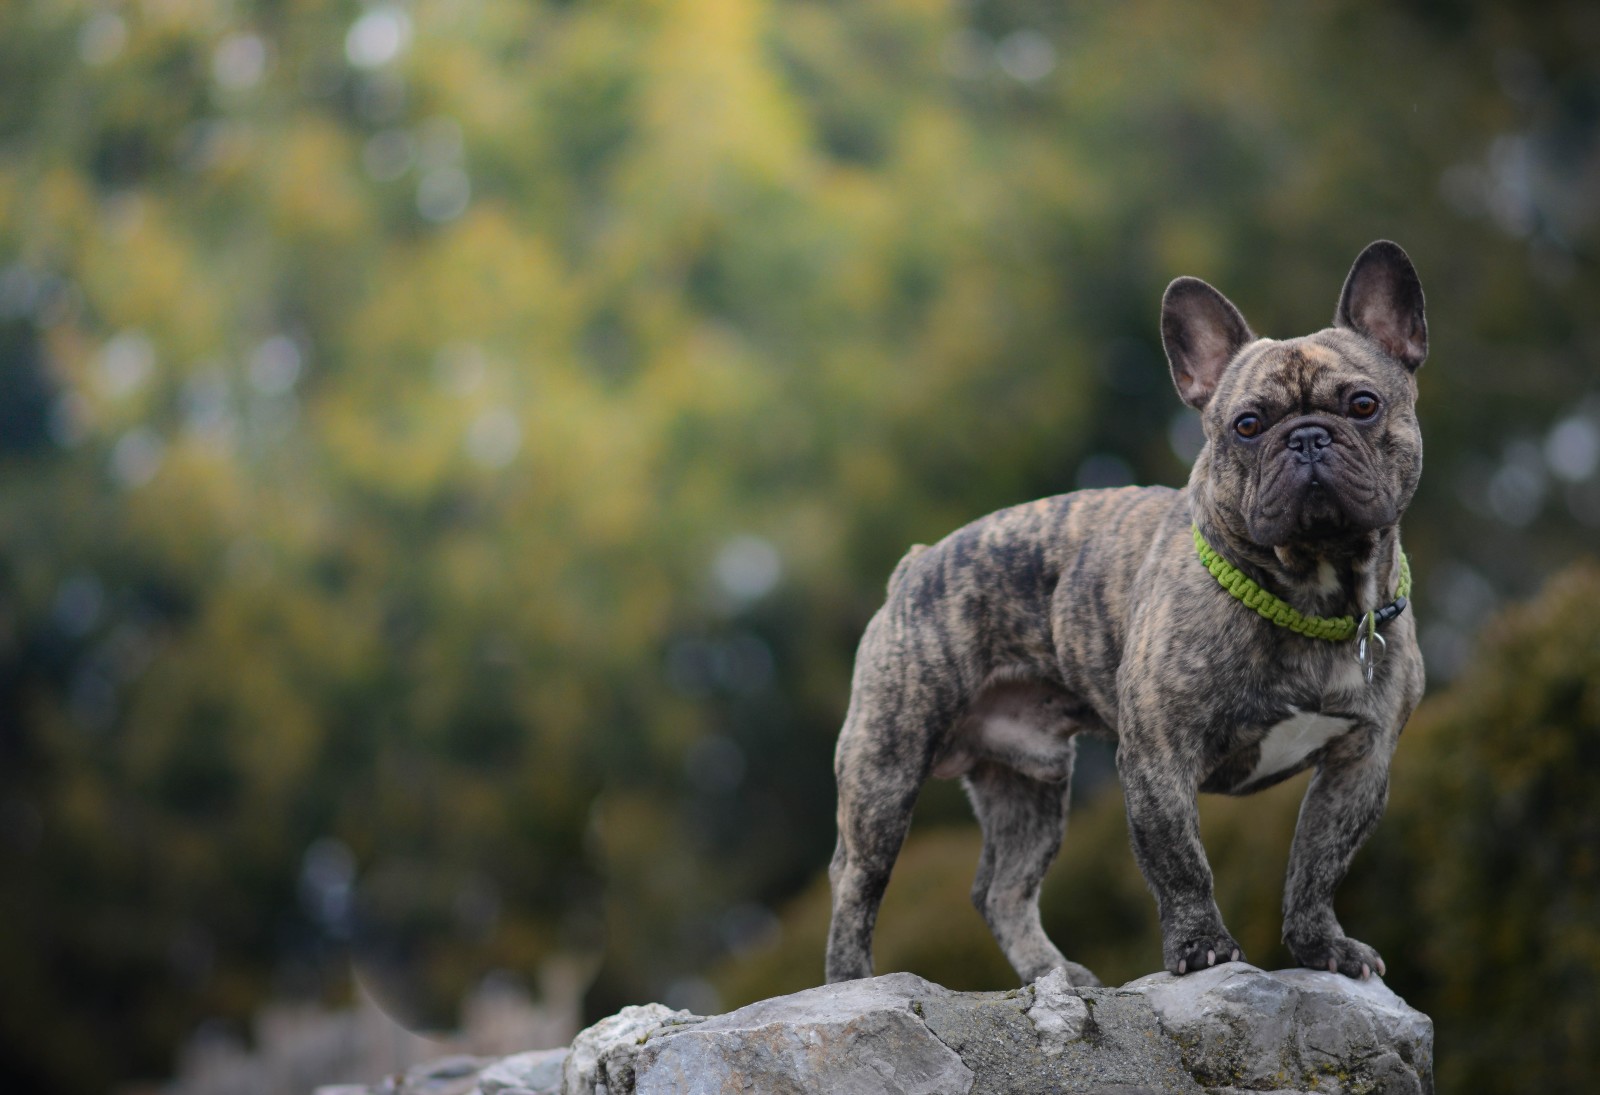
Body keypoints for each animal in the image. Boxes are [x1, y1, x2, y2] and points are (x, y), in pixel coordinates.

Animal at [825, 240, 1427, 986]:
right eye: (1248, 425)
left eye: (1364, 404)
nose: (1308, 437)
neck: (1314, 593)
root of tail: (914, 563)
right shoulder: (1158, 756)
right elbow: (1181, 861)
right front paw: (1202, 948)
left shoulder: (1360, 762)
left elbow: (1317, 864)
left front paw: (1323, 946)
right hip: (886, 766)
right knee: (857, 878)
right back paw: (852, 982)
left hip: (1029, 782)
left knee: (1002, 889)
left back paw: (1052, 973)